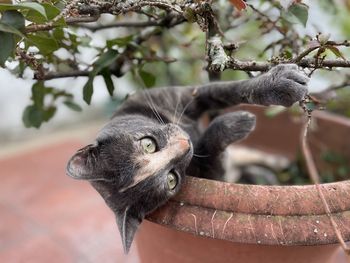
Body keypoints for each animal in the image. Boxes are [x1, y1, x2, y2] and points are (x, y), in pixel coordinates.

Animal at [66, 64, 308, 254]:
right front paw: (237, 122)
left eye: (148, 145)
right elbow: (211, 155)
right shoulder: (211, 173)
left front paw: (281, 84)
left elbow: (229, 90)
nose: (186, 144)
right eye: (172, 180)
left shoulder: (185, 94)